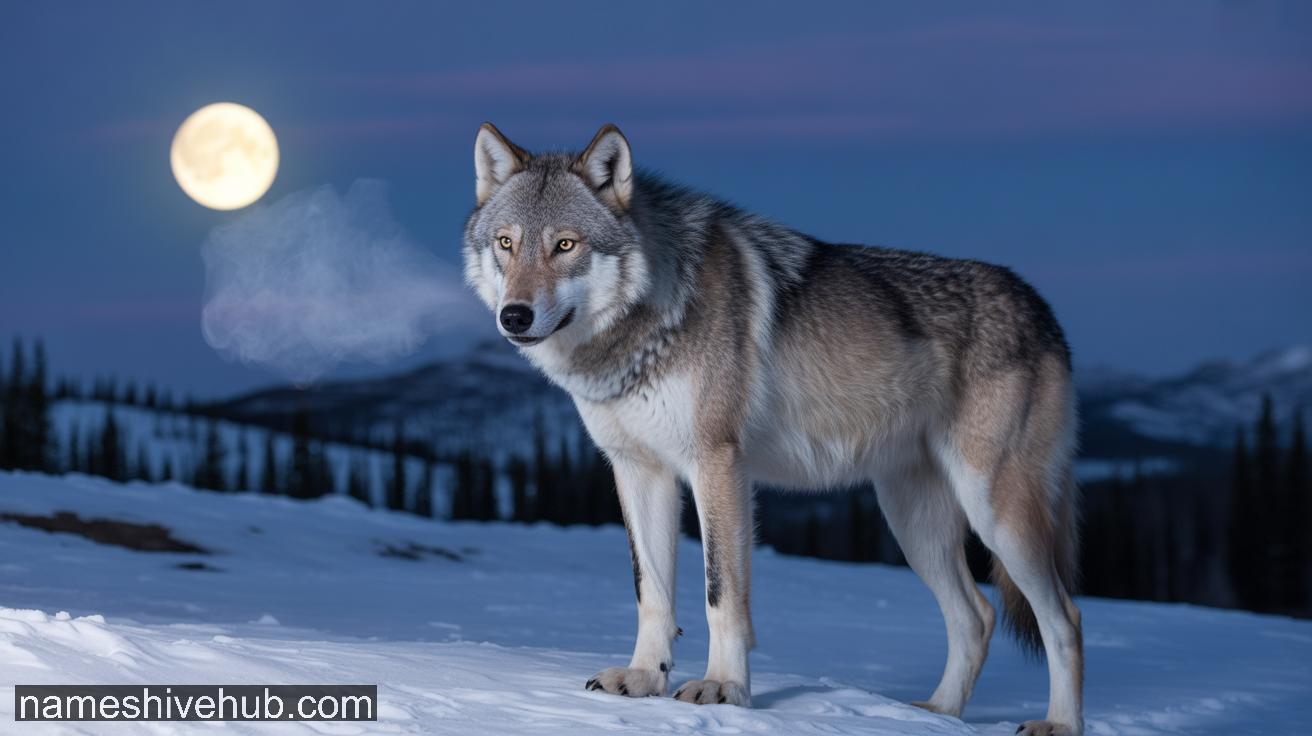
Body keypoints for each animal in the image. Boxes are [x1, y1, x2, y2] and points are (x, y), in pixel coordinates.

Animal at [463, 123, 1084, 736]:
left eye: (566, 245)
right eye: (507, 244)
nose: (514, 316)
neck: (641, 328)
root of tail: (1042, 307)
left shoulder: (717, 466)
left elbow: (720, 594)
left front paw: (724, 689)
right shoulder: (638, 470)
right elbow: (651, 591)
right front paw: (643, 679)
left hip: (994, 511)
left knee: (1065, 617)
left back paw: (1057, 723)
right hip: (913, 523)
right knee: (977, 616)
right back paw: (934, 715)